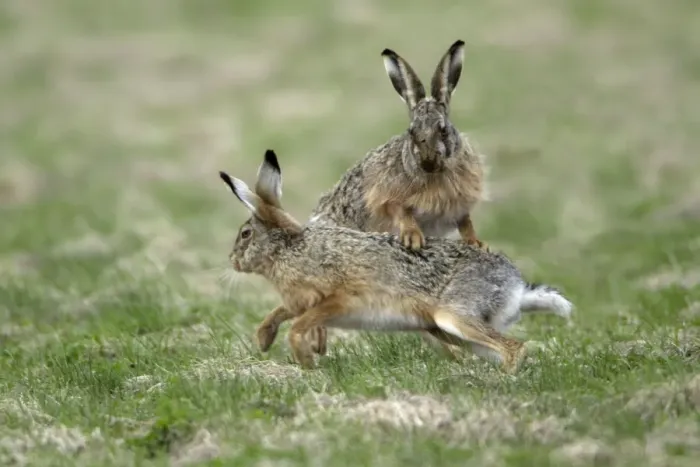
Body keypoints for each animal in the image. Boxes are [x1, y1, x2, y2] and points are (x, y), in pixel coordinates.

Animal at [218, 149, 573, 372]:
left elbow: (299, 325)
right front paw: (264, 340)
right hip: (446, 330)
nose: (233, 261)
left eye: (245, 234)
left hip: (454, 316)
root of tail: (516, 287)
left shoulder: (338, 299)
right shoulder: (298, 302)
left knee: (514, 348)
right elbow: (280, 313)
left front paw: (305, 362)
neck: (289, 250)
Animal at [309, 39, 487, 251]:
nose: (428, 162)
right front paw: (413, 238)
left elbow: (465, 221)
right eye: (411, 132)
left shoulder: (461, 203)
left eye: (443, 130)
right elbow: (402, 211)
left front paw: (477, 243)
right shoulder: (385, 197)